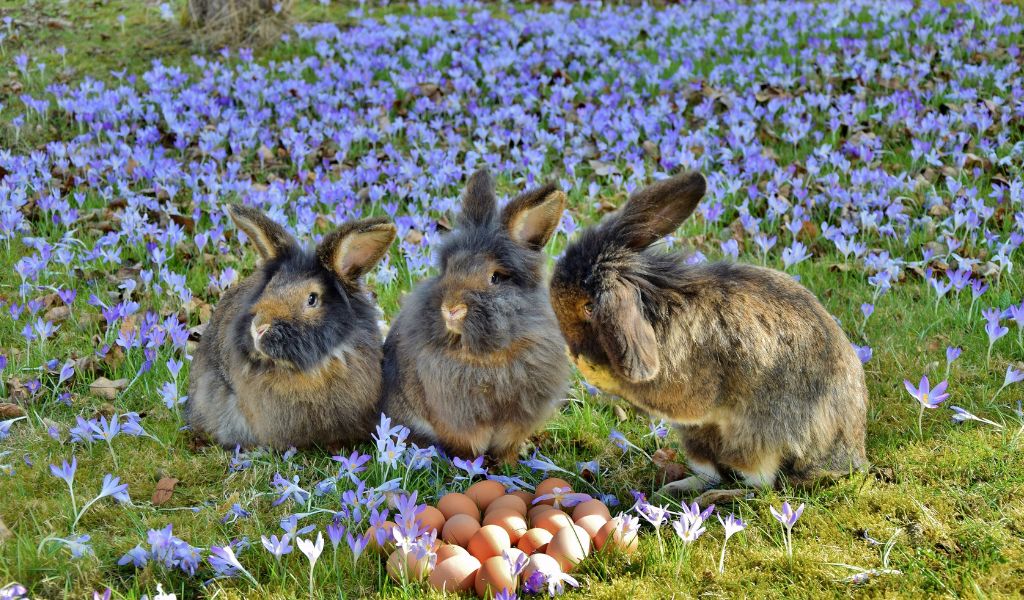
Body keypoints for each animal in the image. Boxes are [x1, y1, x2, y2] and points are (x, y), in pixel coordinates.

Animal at [382, 170, 577, 460]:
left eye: (495, 277)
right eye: (449, 268)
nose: (451, 308)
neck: (488, 354)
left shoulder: (518, 420)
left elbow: (508, 446)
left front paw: (509, 464)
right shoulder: (458, 420)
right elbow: (469, 447)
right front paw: (471, 465)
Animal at [548, 170, 868, 497]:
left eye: (589, 307)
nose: (571, 348)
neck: (655, 307)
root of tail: (847, 459)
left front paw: (592, 371)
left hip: (754, 440)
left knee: (759, 486)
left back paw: (713, 496)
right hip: (698, 438)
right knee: (712, 472)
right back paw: (674, 489)